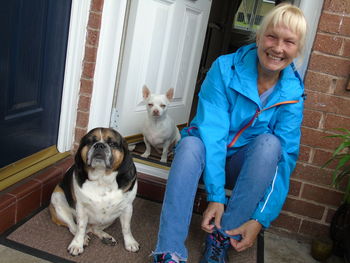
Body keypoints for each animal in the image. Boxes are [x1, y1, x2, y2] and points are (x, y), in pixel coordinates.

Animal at [49, 128, 139, 256]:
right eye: (91, 141)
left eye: (112, 143)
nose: (99, 145)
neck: (102, 178)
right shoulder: (81, 208)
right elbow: (80, 228)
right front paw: (77, 244)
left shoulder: (127, 208)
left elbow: (126, 228)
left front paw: (130, 242)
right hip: (57, 199)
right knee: (73, 226)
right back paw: (84, 238)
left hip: (110, 218)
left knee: (95, 228)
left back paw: (106, 237)